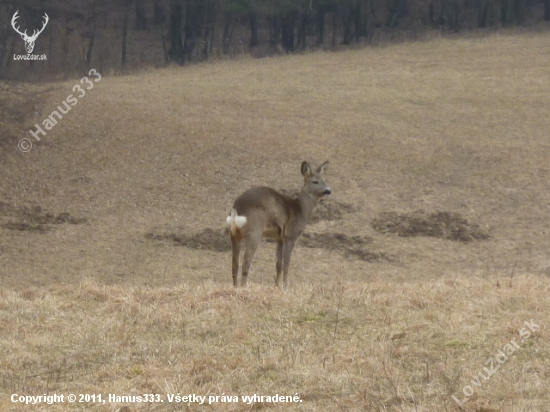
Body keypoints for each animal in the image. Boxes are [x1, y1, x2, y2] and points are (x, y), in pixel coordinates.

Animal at [227, 159, 334, 288]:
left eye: (324, 180)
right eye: (315, 182)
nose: (328, 190)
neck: (301, 211)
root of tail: (236, 211)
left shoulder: (279, 238)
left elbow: (278, 264)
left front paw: (276, 285)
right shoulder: (290, 235)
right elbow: (286, 264)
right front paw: (285, 286)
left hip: (233, 234)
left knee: (234, 263)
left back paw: (235, 286)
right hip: (254, 231)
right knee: (246, 261)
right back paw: (244, 286)